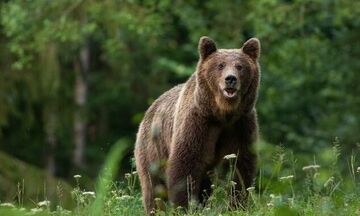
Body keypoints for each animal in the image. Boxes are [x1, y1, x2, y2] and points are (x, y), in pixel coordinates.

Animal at [134, 36, 260, 213]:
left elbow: (241, 166)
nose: (230, 79)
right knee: (153, 186)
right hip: (152, 149)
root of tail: (150, 108)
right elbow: (185, 165)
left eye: (240, 66)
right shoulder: (198, 123)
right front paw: (184, 206)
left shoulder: (240, 125)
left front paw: (237, 205)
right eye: (220, 65)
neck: (222, 113)